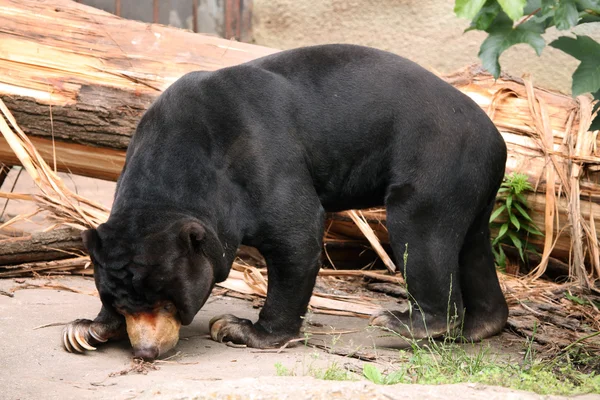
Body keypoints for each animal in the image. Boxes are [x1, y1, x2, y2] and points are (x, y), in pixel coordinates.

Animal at [63, 43, 508, 360]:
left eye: (168, 301)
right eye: (121, 303)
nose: (147, 351)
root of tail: (497, 138)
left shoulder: (258, 158)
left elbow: (297, 233)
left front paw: (239, 329)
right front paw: (84, 330)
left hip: (437, 162)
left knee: (420, 232)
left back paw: (404, 323)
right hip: (471, 181)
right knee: (471, 244)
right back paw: (479, 327)